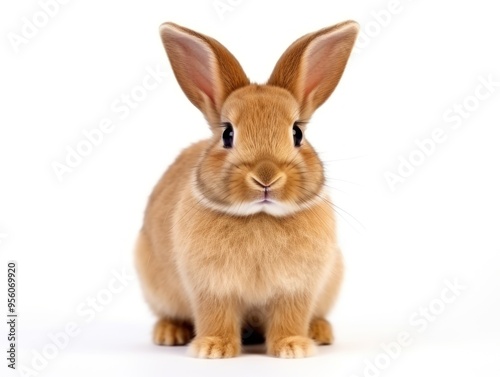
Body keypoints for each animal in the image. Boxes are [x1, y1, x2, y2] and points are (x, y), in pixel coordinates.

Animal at [134, 20, 360, 358]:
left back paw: (320, 332)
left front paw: (293, 347)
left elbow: (290, 317)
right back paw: (169, 333)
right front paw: (212, 349)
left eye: (297, 133)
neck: (260, 216)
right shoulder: (212, 288)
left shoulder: (296, 288)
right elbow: (216, 316)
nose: (266, 177)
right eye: (227, 134)